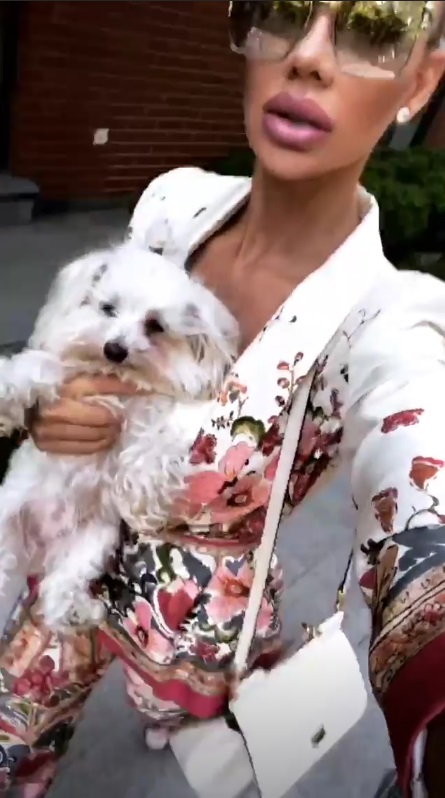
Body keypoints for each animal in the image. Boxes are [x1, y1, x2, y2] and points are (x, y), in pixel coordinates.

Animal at [0, 241, 238, 630]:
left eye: (155, 325)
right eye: (107, 308)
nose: (114, 349)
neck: (117, 383)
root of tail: (38, 547)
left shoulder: (148, 416)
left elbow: (153, 445)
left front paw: (144, 489)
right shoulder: (66, 380)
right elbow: (38, 366)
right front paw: (8, 390)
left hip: (93, 542)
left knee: (58, 589)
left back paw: (81, 610)